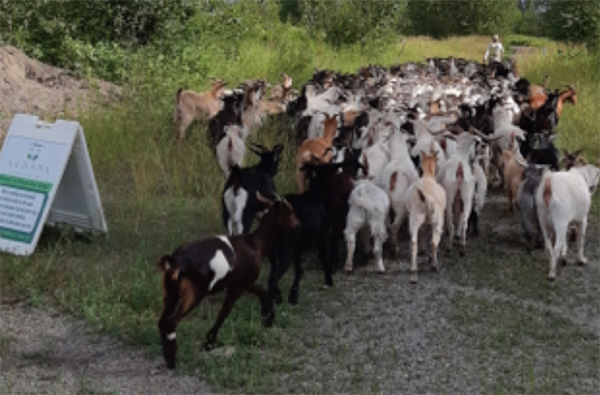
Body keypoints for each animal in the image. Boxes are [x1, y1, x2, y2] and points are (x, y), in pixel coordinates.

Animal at [157, 193, 300, 370]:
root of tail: (176, 261)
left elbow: (262, 291)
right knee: (171, 321)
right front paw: (210, 341)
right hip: (193, 293)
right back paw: (172, 360)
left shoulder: (242, 282)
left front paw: (268, 318)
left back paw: (167, 355)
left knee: (162, 320)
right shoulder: (238, 287)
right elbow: (225, 311)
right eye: (289, 212)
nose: (297, 224)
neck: (255, 243)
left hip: (170, 291)